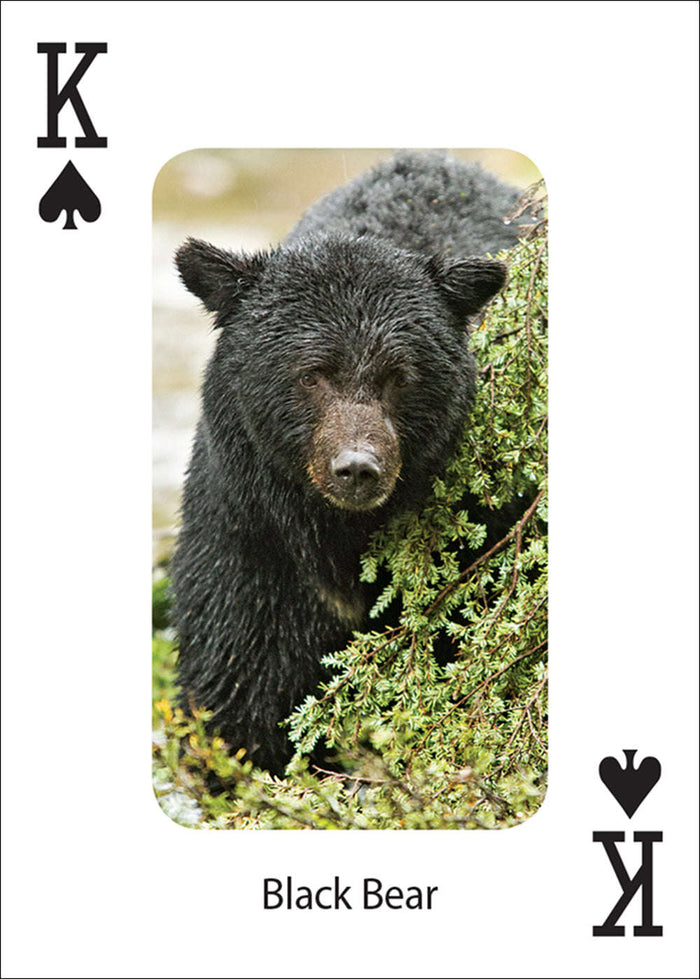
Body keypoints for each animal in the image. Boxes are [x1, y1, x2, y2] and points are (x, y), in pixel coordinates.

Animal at [171, 151, 529, 775]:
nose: (358, 467)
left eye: (398, 375)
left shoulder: (480, 534)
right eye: (311, 374)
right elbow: (237, 680)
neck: (338, 535)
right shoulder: (248, 539)